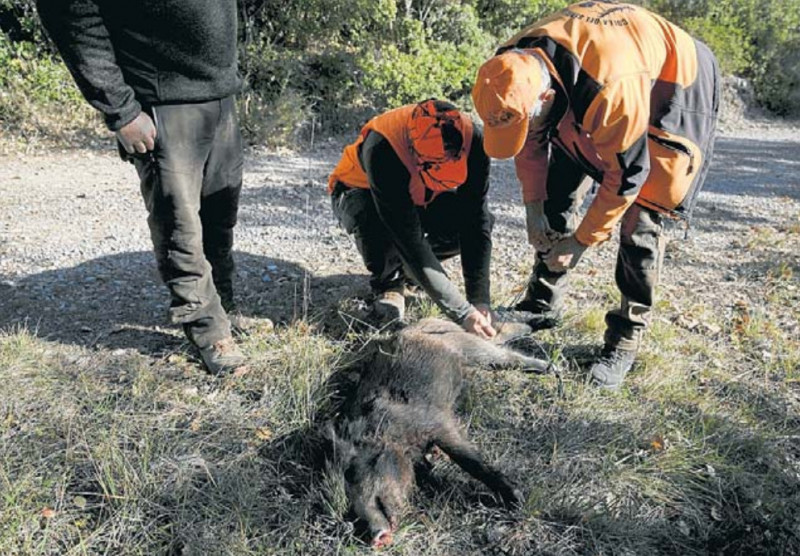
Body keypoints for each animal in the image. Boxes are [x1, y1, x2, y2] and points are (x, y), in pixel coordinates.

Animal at [329, 316, 552, 548]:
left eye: (352, 473)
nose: (374, 537)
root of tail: (429, 322)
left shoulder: (439, 424)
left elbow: (470, 461)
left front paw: (517, 500)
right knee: (500, 336)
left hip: (469, 346)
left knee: (502, 352)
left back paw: (549, 362)